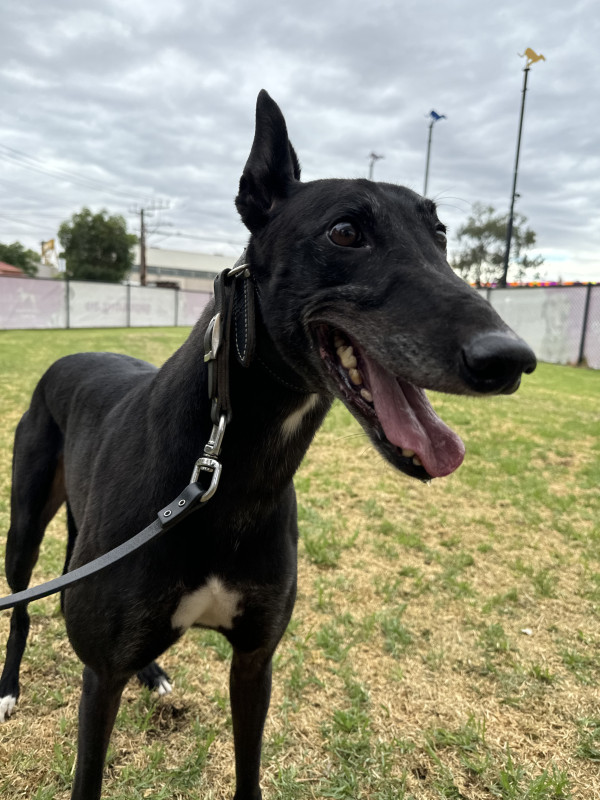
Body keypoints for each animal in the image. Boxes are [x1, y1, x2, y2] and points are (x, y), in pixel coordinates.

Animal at [0, 90, 536, 799]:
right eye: (345, 232)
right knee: (20, 607)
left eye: (441, 235)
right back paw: (7, 689)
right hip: (26, 521)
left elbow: (249, 770)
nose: (510, 359)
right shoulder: (101, 677)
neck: (222, 470)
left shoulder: (256, 659)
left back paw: (152, 673)